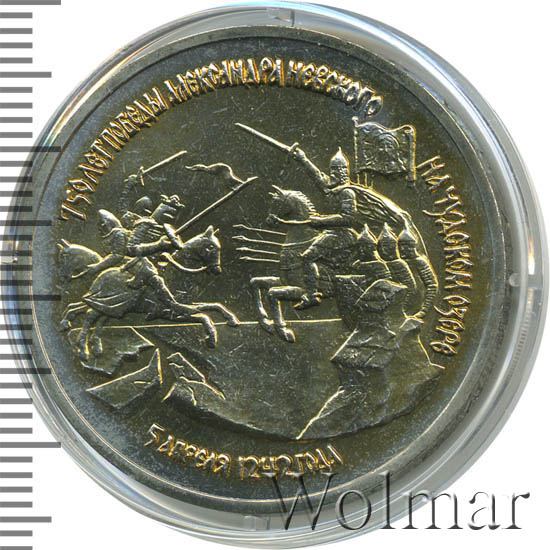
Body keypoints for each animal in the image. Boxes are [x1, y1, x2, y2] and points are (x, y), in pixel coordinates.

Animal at [58, 226, 239, 362]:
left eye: (217, 246)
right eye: (211, 247)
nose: (217, 270)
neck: (177, 274)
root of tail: (101, 273)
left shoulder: (188, 305)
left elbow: (214, 306)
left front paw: (231, 319)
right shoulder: (172, 312)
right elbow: (204, 316)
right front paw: (211, 338)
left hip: (114, 307)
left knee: (88, 312)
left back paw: (91, 344)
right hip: (108, 302)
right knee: (89, 315)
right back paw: (83, 349)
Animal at [250, 187, 358, 343]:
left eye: (277, 202)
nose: (269, 221)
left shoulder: (300, 288)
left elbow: (272, 294)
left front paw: (283, 330)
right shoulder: (284, 282)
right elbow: (255, 283)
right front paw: (265, 322)